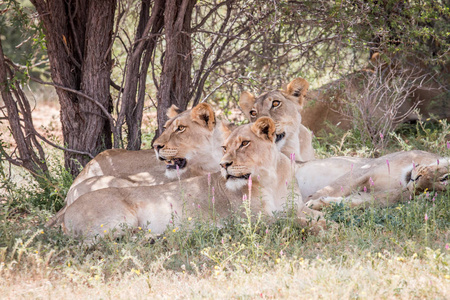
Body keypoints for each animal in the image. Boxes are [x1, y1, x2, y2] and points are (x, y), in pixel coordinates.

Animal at [59, 117, 326, 241]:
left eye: (244, 144)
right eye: (225, 147)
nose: (224, 165)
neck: (271, 178)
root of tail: (66, 210)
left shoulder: (294, 206)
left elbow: (316, 216)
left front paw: (325, 221)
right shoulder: (256, 221)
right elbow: (297, 222)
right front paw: (322, 229)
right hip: (121, 219)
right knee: (98, 242)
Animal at [304, 151, 448, 210]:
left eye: (428, 192)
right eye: (445, 178)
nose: (415, 180)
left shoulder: (383, 197)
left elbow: (355, 203)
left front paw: (317, 204)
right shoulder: (366, 170)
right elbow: (334, 188)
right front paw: (305, 205)